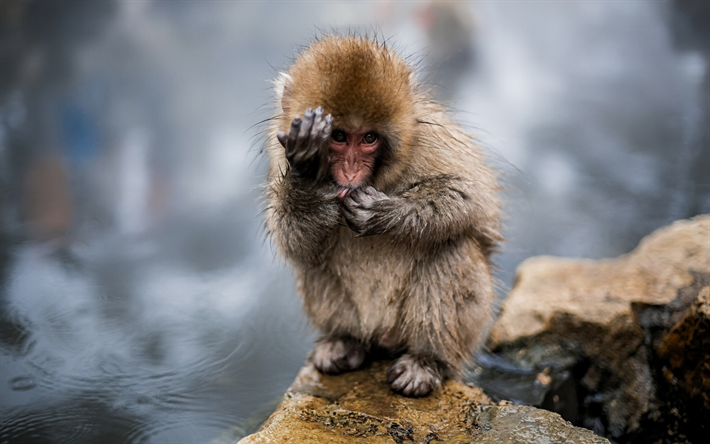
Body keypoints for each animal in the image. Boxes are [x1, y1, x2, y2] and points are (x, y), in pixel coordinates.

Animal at [264, 33, 504, 396]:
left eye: (369, 138)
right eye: (338, 137)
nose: (350, 171)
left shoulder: (430, 140)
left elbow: (468, 196)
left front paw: (380, 212)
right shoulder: (280, 150)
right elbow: (294, 242)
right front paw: (307, 173)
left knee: (453, 246)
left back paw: (427, 360)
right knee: (314, 264)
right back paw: (345, 342)